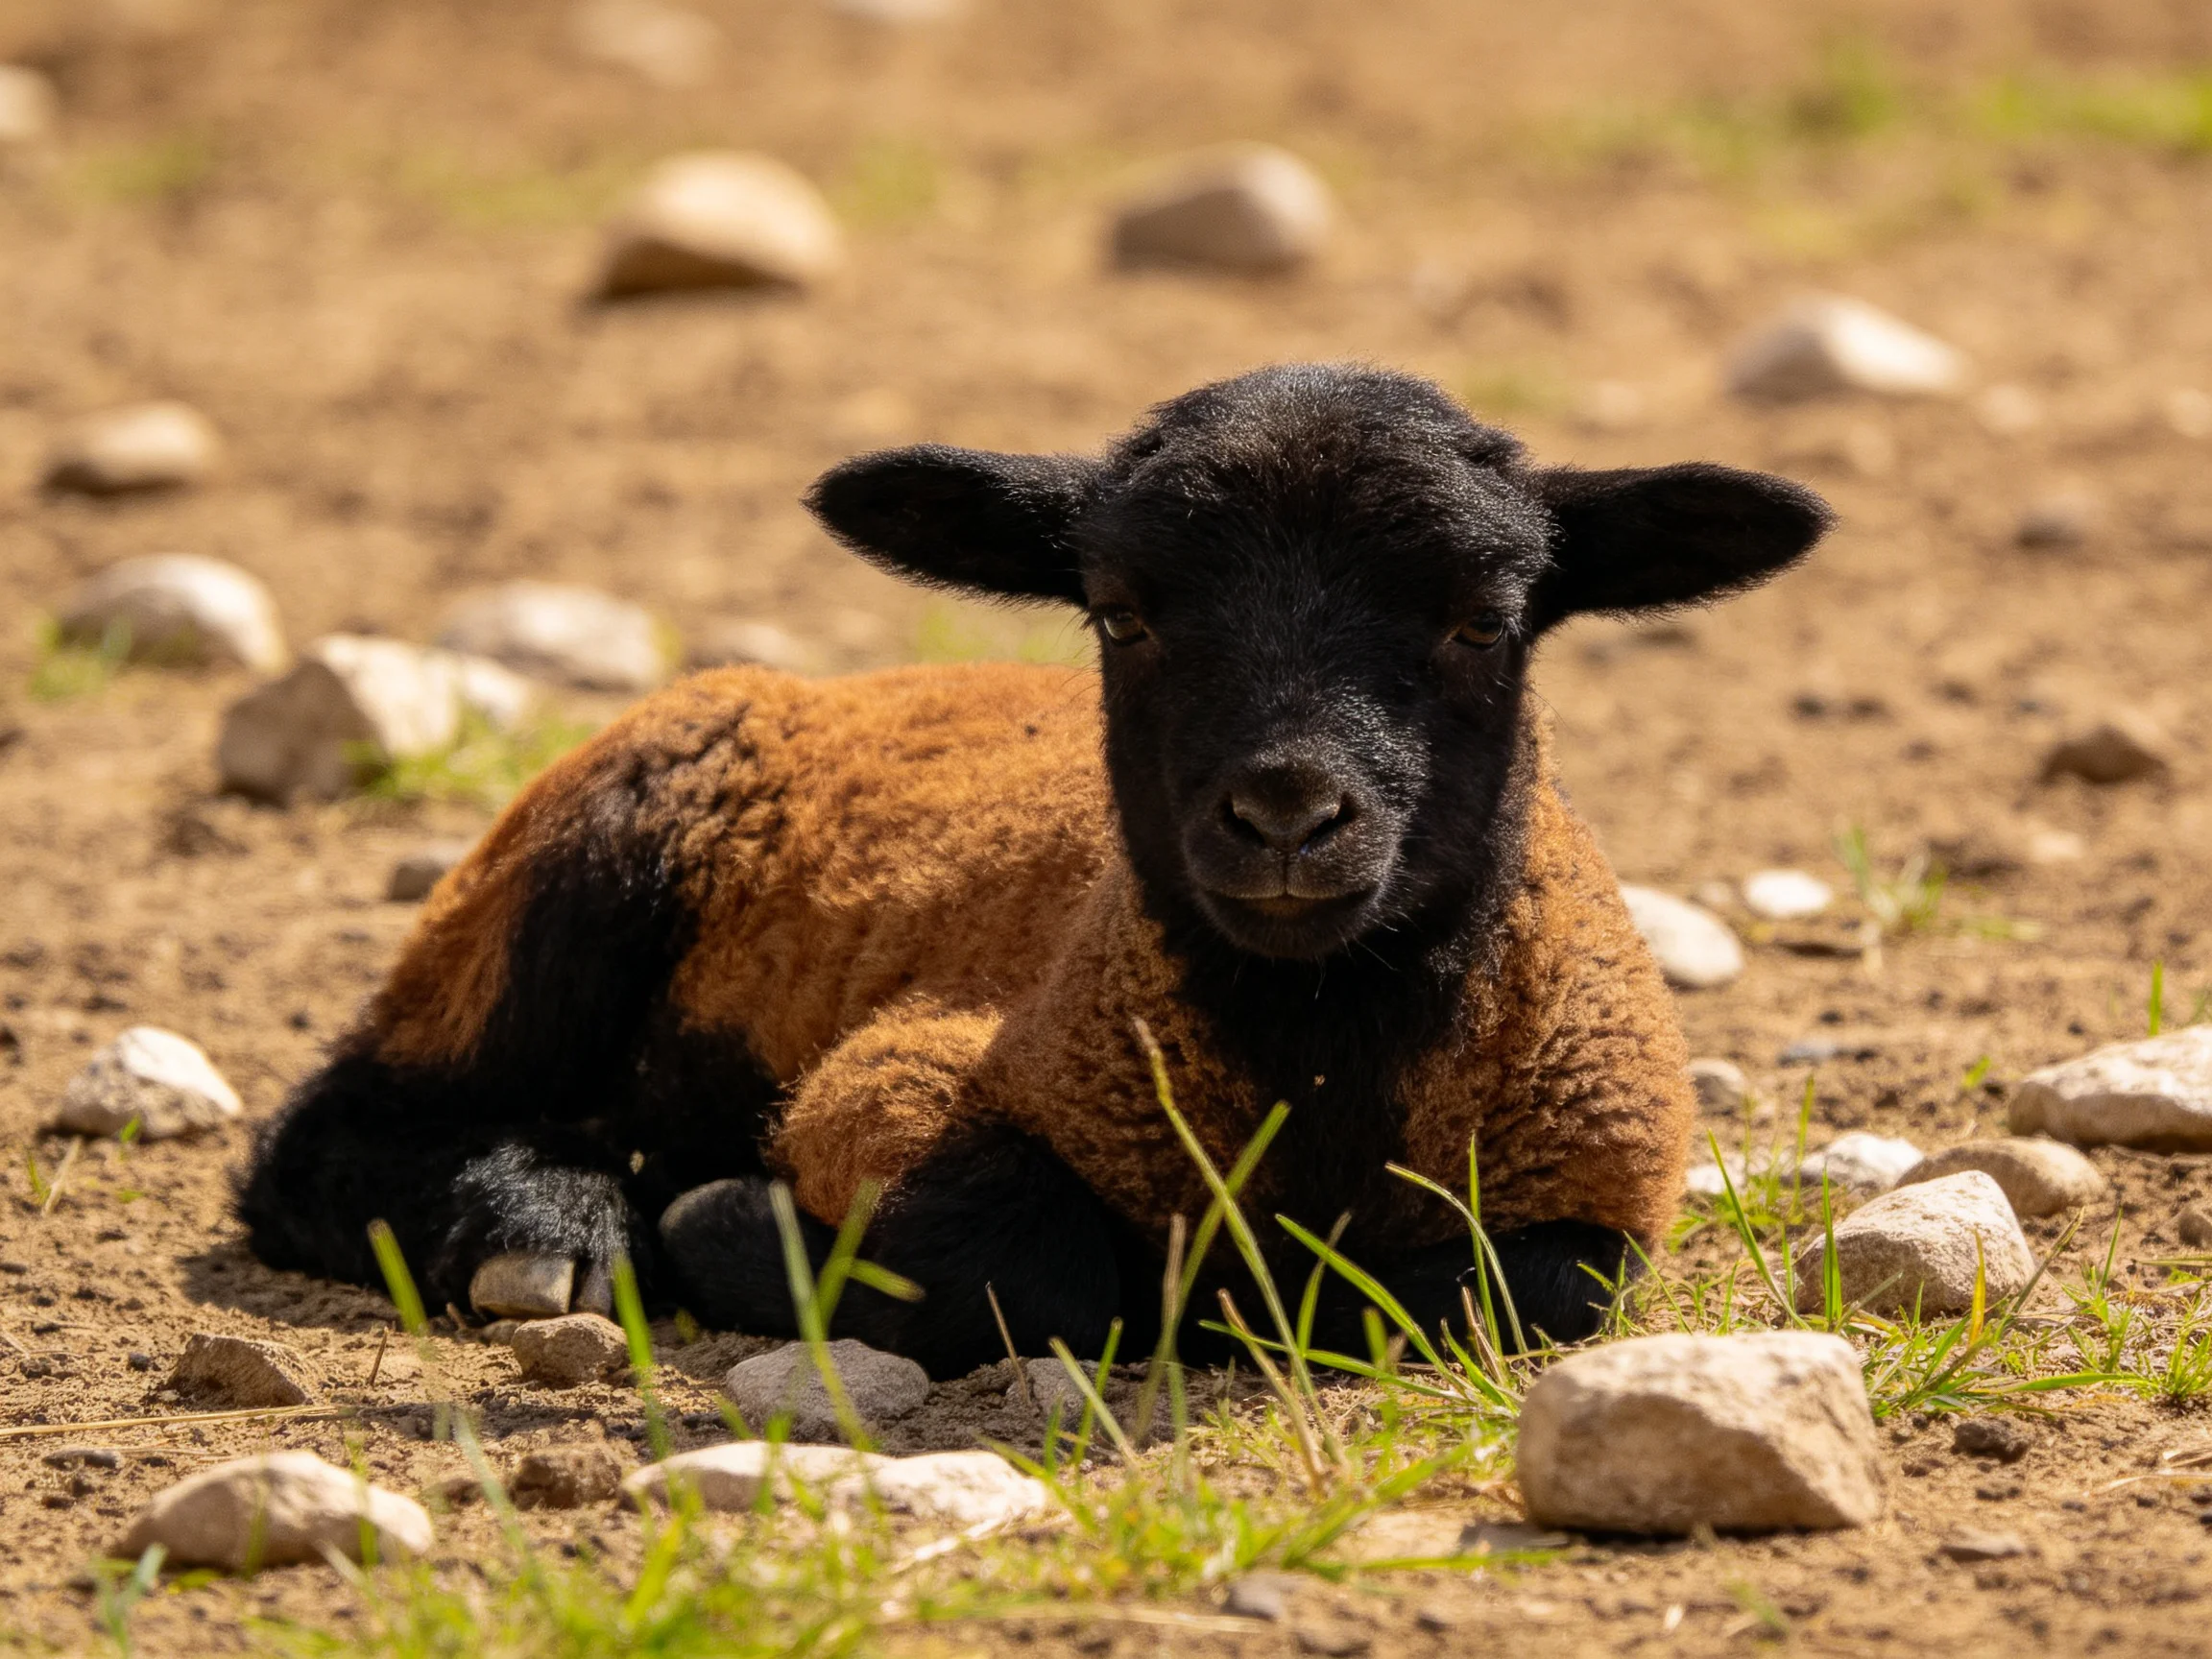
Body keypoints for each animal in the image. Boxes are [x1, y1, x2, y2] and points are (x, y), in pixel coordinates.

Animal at [236, 364, 1830, 1376]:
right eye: (1123, 616)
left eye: (1483, 621)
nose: (1286, 812)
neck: (1319, 1061)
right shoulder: (905, 1083)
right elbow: (1043, 1271)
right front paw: (732, 1234)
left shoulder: (1605, 1170)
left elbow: (1488, 1294)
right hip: (576, 874)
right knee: (330, 1132)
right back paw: (551, 1225)